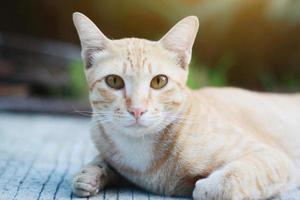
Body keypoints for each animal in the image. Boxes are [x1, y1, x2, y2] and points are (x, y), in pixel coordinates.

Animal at [71, 12, 298, 200]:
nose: (137, 109)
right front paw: (90, 173)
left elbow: (231, 179)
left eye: (159, 81)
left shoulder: (272, 157)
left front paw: (208, 187)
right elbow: (100, 164)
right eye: (114, 81)